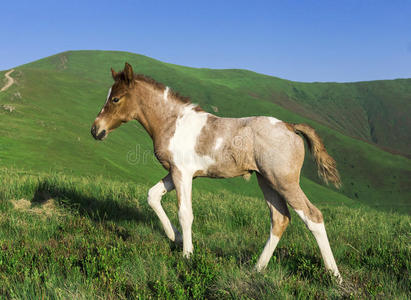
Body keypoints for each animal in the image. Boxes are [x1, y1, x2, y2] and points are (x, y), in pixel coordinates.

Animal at [91, 62, 342, 282]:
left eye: (115, 98)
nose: (96, 130)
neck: (173, 123)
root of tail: (291, 127)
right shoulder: (176, 172)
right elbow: (153, 196)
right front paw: (175, 236)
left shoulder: (182, 173)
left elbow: (185, 213)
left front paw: (187, 255)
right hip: (266, 181)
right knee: (280, 219)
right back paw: (257, 269)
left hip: (284, 181)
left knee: (313, 217)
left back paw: (335, 276)